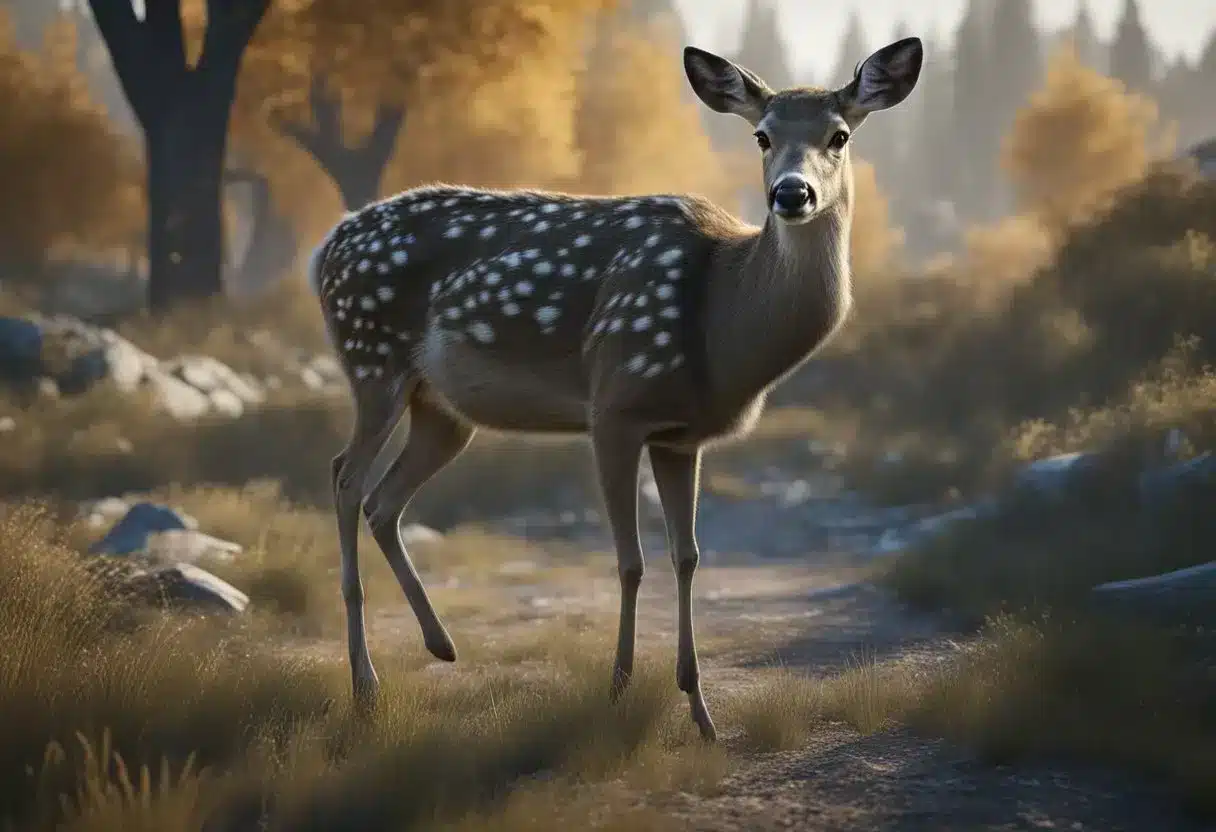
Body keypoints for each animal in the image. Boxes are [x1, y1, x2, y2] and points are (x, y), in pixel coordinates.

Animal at [308, 37, 923, 741]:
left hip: (441, 408)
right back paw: (365, 684)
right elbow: (630, 560)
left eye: (839, 135)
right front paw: (618, 690)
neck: (721, 320)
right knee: (345, 477)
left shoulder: (681, 436)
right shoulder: (615, 404)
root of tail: (324, 249)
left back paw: (441, 646)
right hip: (371, 356)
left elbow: (688, 556)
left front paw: (703, 716)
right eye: (762, 135)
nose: (791, 193)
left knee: (383, 499)